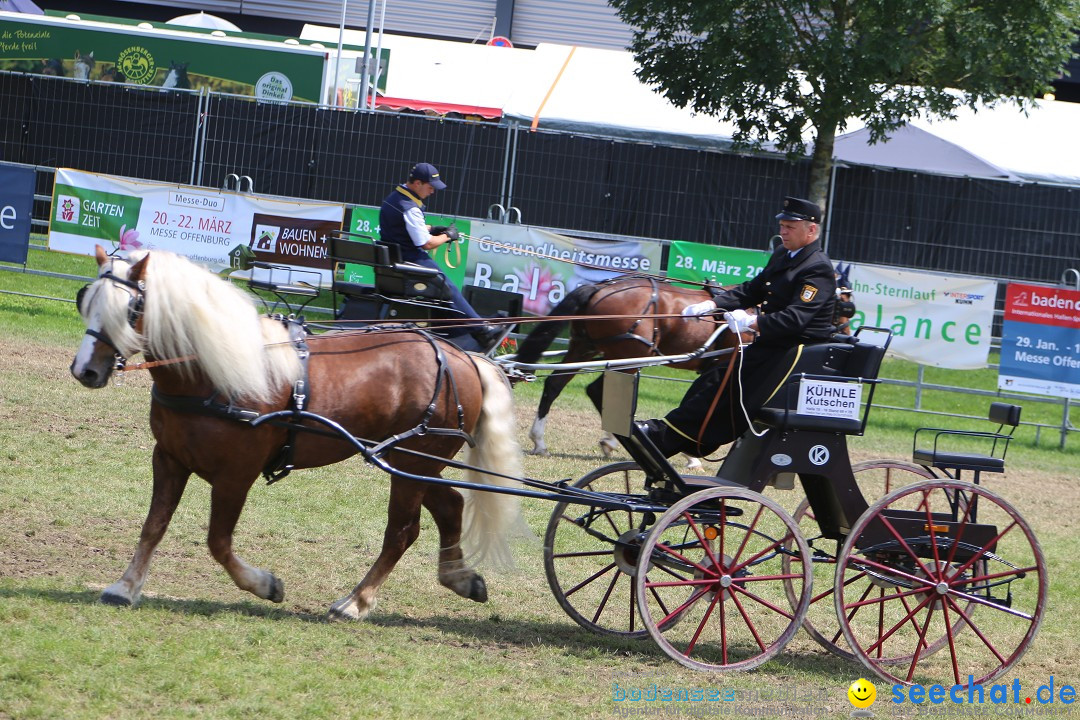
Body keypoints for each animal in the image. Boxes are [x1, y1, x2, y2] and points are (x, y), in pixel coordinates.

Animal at [68, 246, 522, 621]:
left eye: (132, 308)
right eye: (86, 300)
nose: (85, 370)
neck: (210, 372)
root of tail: (462, 356)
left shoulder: (237, 474)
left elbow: (218, 541)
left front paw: (265, 585)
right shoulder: (169, 459)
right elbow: (154, 526)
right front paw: (126, 586)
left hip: (412, 462)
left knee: (402, 532)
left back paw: (356, 601)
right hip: (413, 462)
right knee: (450, 505)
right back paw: (460, 577)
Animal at [514, 276, 743, 468]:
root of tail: (599, 288)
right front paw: (691, 456)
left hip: (584, 348)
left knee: (555, 384)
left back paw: (540, 441)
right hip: (628, 358)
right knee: (596, 389)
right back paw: (616, 440)